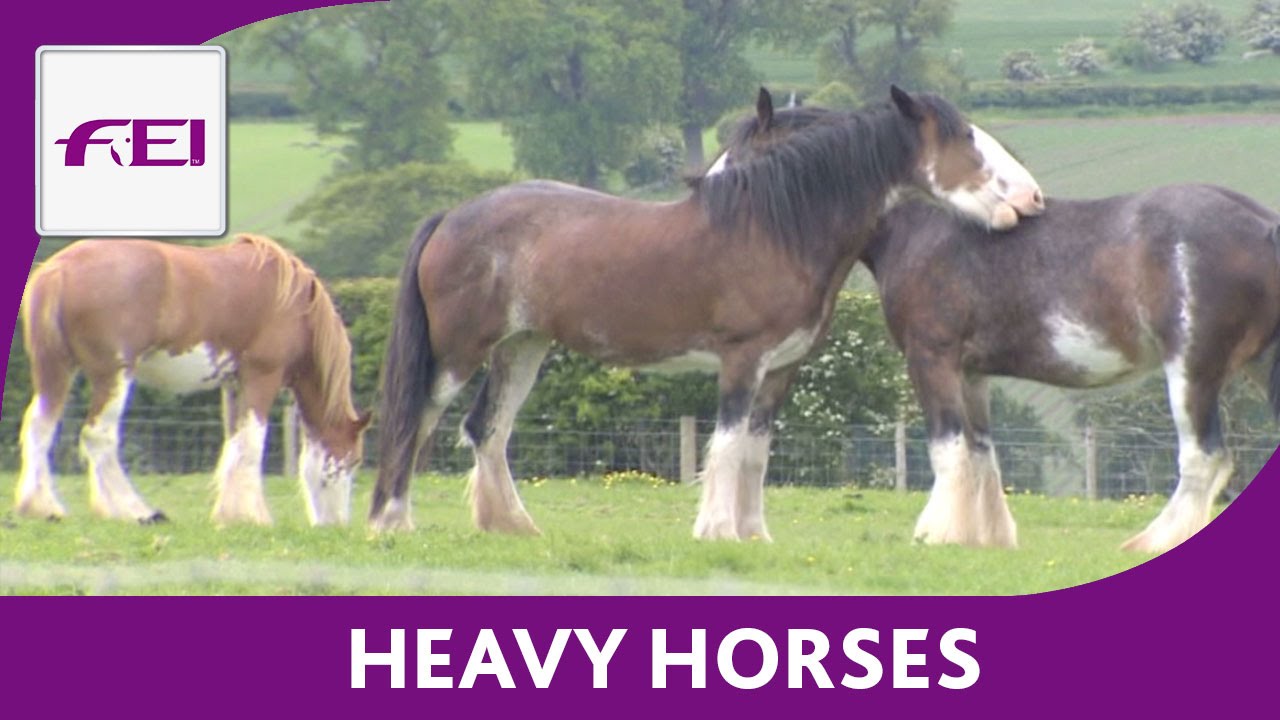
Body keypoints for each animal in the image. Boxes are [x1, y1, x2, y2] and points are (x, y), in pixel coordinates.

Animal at [15, 234, 371, 526]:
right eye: (352, 462)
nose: (337, 525)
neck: (294, 304)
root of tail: (59, 269)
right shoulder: (262, 377)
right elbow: (252, 443)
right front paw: (254, 516)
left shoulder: (234, 384)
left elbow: (235, 442)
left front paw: (230, 513)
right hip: (112, 376)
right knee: (98, 436)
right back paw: (134, 511)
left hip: (55, 369)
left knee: (40, 427)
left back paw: (42, 507)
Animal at [369, 86, 1044, 540]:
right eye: (967, 143)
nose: (1031, 198)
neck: (773, 228)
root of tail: (451, 217)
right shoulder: (741, 359)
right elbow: (725, 442)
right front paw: (717, 530)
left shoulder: (781, 370)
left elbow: (755, 450)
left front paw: (753, 535)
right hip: (457, 353)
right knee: (416, 419)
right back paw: (392, 520)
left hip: (522, 348)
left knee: (488, 428)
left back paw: (511, 527)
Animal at [720, 94, 1280, 553]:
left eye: (739, 157)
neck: (922, 229)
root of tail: (1260, 222)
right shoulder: (971, 374)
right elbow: (980, 454)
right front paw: (984, 536)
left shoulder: (932, 359)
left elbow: (947, 448)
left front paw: (937, 533)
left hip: (1192, 371)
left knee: (1204, 458)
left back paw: (1150, 541)